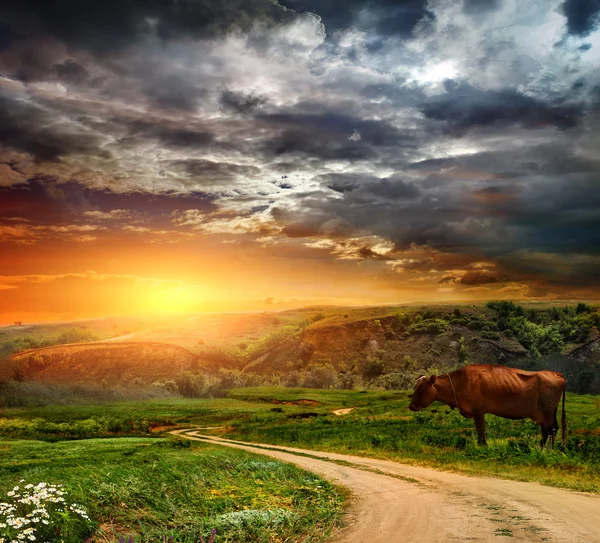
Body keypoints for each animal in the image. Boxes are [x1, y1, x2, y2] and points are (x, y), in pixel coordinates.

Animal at [408, 364, 568, 448]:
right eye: (415, 387)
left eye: (421, 389)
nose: (411, 406)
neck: (459, 383)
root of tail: (555, 373)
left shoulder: (478, 411)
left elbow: (481, 429)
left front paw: (482, 445)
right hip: (541, 414)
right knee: (546, 430)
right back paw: (540, 447)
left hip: (549, 411)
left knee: (552, 429)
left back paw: (551, 449)